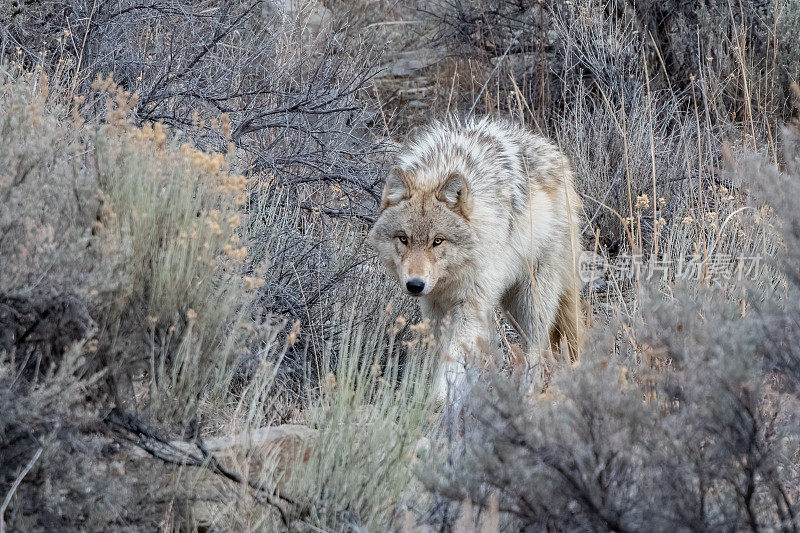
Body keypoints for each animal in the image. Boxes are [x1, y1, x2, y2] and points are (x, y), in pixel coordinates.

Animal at [368, 117, 580, 400]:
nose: (415, 285)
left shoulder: (470, 305)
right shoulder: (435, 307)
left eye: (437, 241)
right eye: (404, 239)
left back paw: (526, 394)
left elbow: (453, 358)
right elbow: (441, 355)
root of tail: (558, 156)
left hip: (528, 302)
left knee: (537, 350)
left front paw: (439, 400)